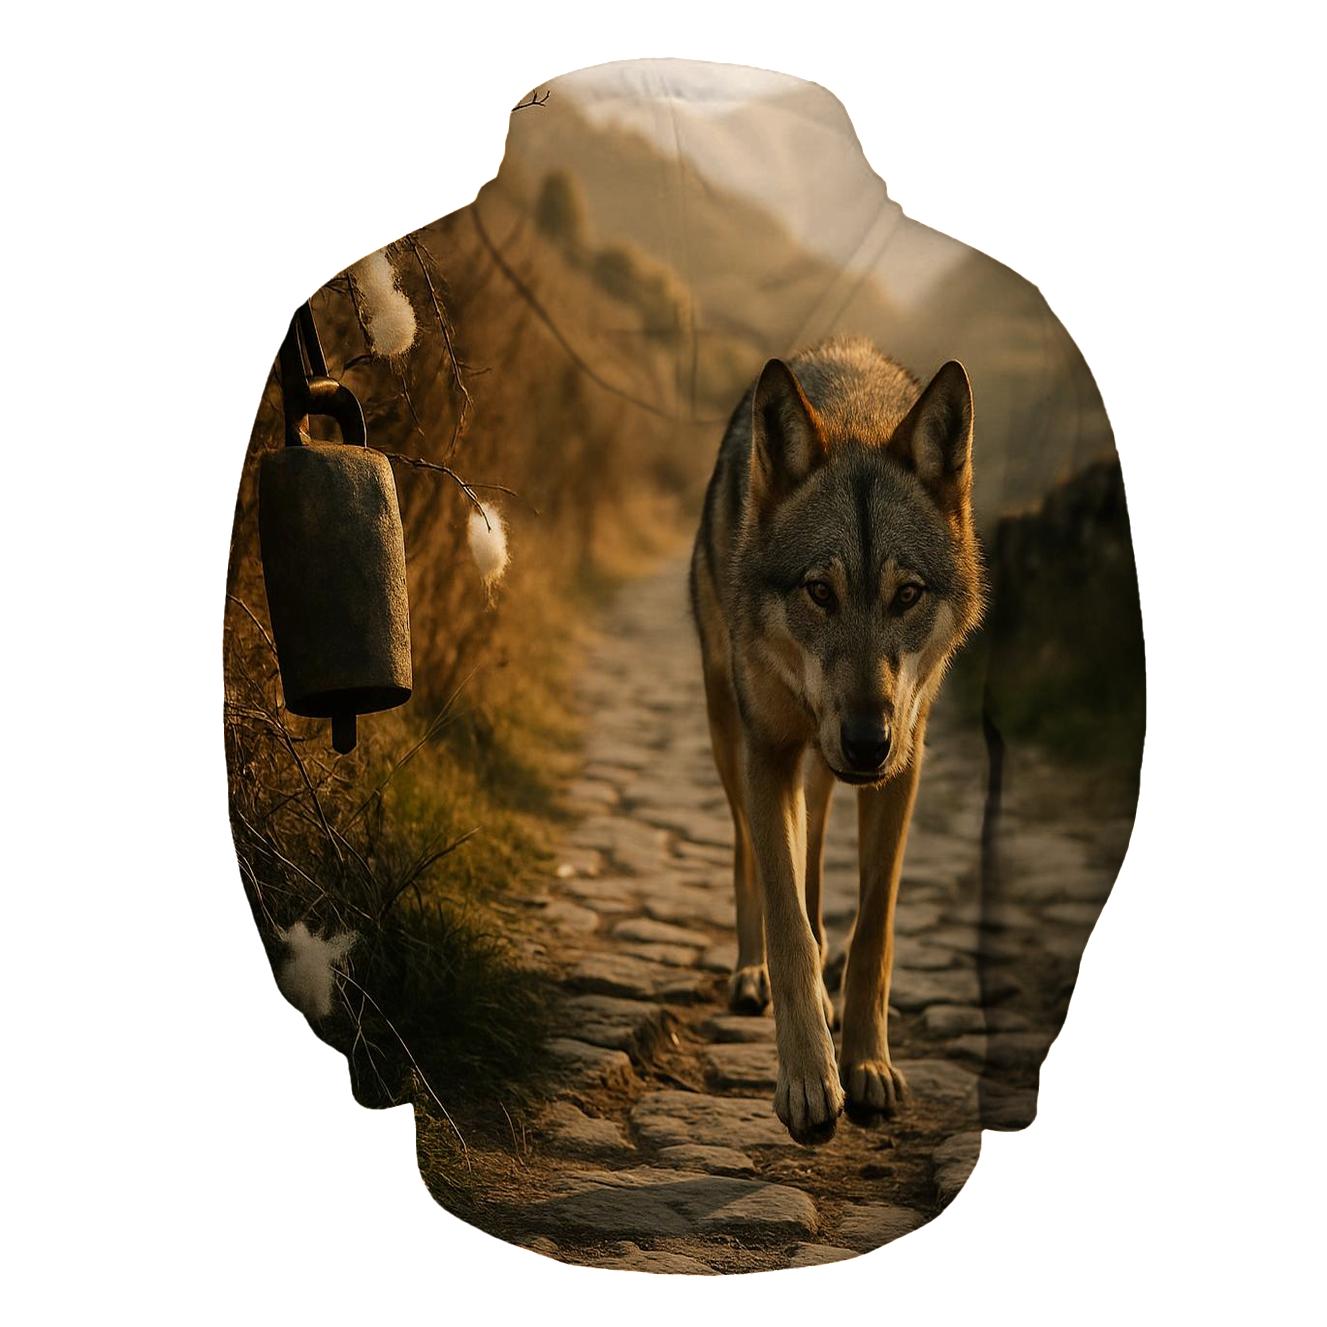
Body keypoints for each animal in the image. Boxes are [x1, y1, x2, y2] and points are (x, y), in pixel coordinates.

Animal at [690, 336, 984, 1144]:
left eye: (906, 595)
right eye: (819, 592)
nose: (866, 741)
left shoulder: (905, 766)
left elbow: (873, 933)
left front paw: (866, 1063)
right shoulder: (767, 753)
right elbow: (788, 922)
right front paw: (807, 1080)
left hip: (822, 770)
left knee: (816, 856)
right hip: (733, 739)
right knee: (750, 855)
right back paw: (750, 972)